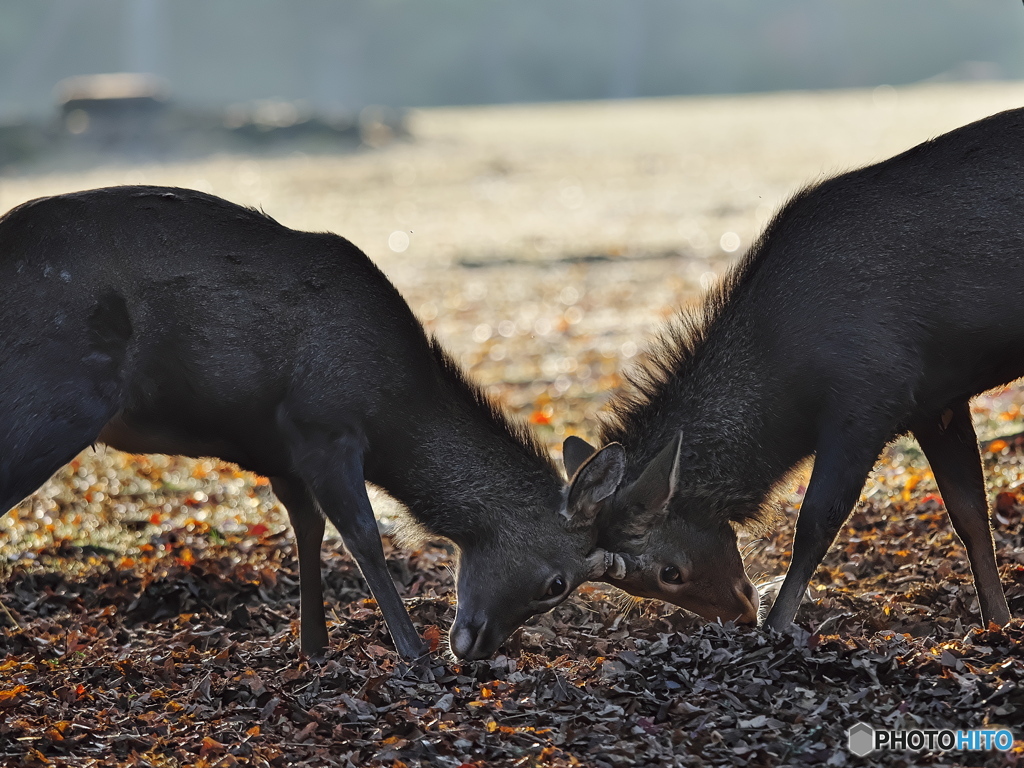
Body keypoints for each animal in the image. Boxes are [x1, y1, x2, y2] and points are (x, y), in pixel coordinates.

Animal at [0, 186, 622, 663]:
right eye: (557, 583)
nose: (476, 648)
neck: (395, 410)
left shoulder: (280, 452)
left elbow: (308, 530)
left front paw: (314, 646)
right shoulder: (325, 425)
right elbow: (363, 535)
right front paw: (414, 656)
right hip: (52, 401)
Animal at [565, 109, 1019, 638]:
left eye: (668, 572)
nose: (742, 614)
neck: (789, 395)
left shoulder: (869, 400)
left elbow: (816, 522)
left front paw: (779, 625)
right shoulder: (936, 403)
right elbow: (971, 516)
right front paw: (998, 622)